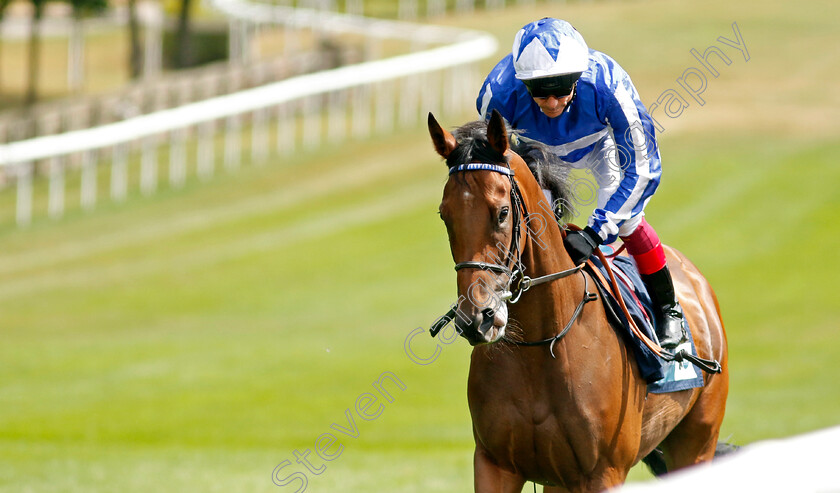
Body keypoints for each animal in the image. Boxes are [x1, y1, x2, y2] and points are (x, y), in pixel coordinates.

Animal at [430, 111, 724, 492]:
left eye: (502, 212)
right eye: (444, 214)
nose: (477, 318)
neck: (540, 347)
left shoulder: (603, 471)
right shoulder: (495, 464)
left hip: (697, 441)